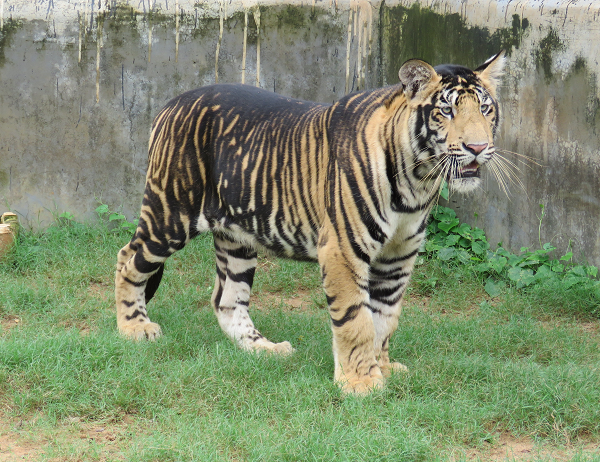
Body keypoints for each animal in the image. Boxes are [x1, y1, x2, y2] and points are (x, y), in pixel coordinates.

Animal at [115, 53, 504, 394]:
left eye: (485, 109)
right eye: (446, 110)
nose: (477, 147)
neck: (418, 180)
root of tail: (172, 102)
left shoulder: (398, 257)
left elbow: (385, 318)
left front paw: (382, 368)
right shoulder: (344, 249)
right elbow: (356, 318)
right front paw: (360, 383)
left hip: (236, 237)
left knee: (227, 300)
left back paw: (264, 349)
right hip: (170, 215)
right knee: (128, 259)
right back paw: (135, 328)